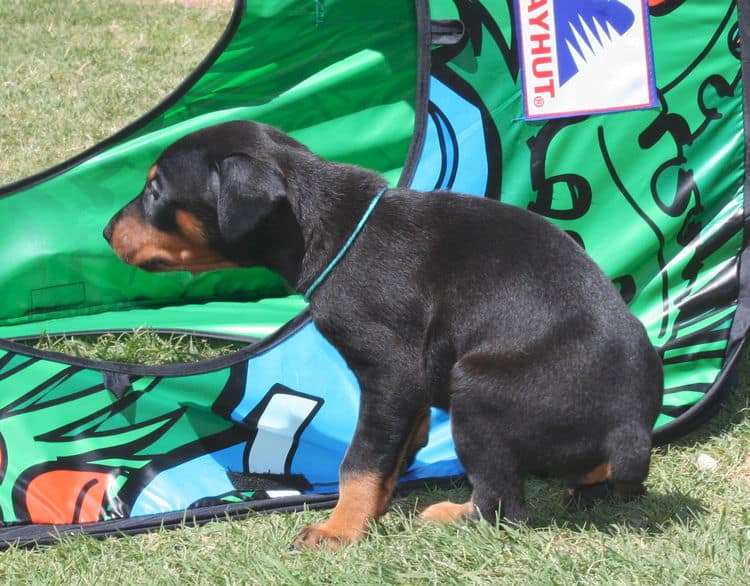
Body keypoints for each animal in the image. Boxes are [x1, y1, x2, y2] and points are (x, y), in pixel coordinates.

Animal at [104, 118, 664, 548]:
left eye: (155, 190)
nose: (106, 231)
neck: (333, 230)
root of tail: (629, 428)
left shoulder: (390, 373)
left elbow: (360, 459)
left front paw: (339, 530)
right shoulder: (408, 388)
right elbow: (393, 453)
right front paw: (372, 509)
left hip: (477, 390)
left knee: (503, 502)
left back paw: (454, 514)